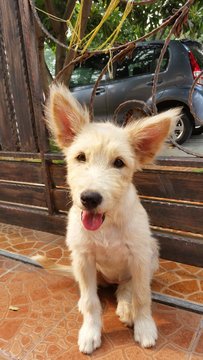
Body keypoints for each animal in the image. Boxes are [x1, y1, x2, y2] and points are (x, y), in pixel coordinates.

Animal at [46, 83, 181, 354]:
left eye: (119, 163)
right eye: (80, 157)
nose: (90, 198)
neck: (107, 223)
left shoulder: (139, 258)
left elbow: (142, 296)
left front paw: (144, 326)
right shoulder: (84, 258)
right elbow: (91, 301)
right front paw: (90, 331)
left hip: (151, 253)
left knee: (126, 287)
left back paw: (126, 308)